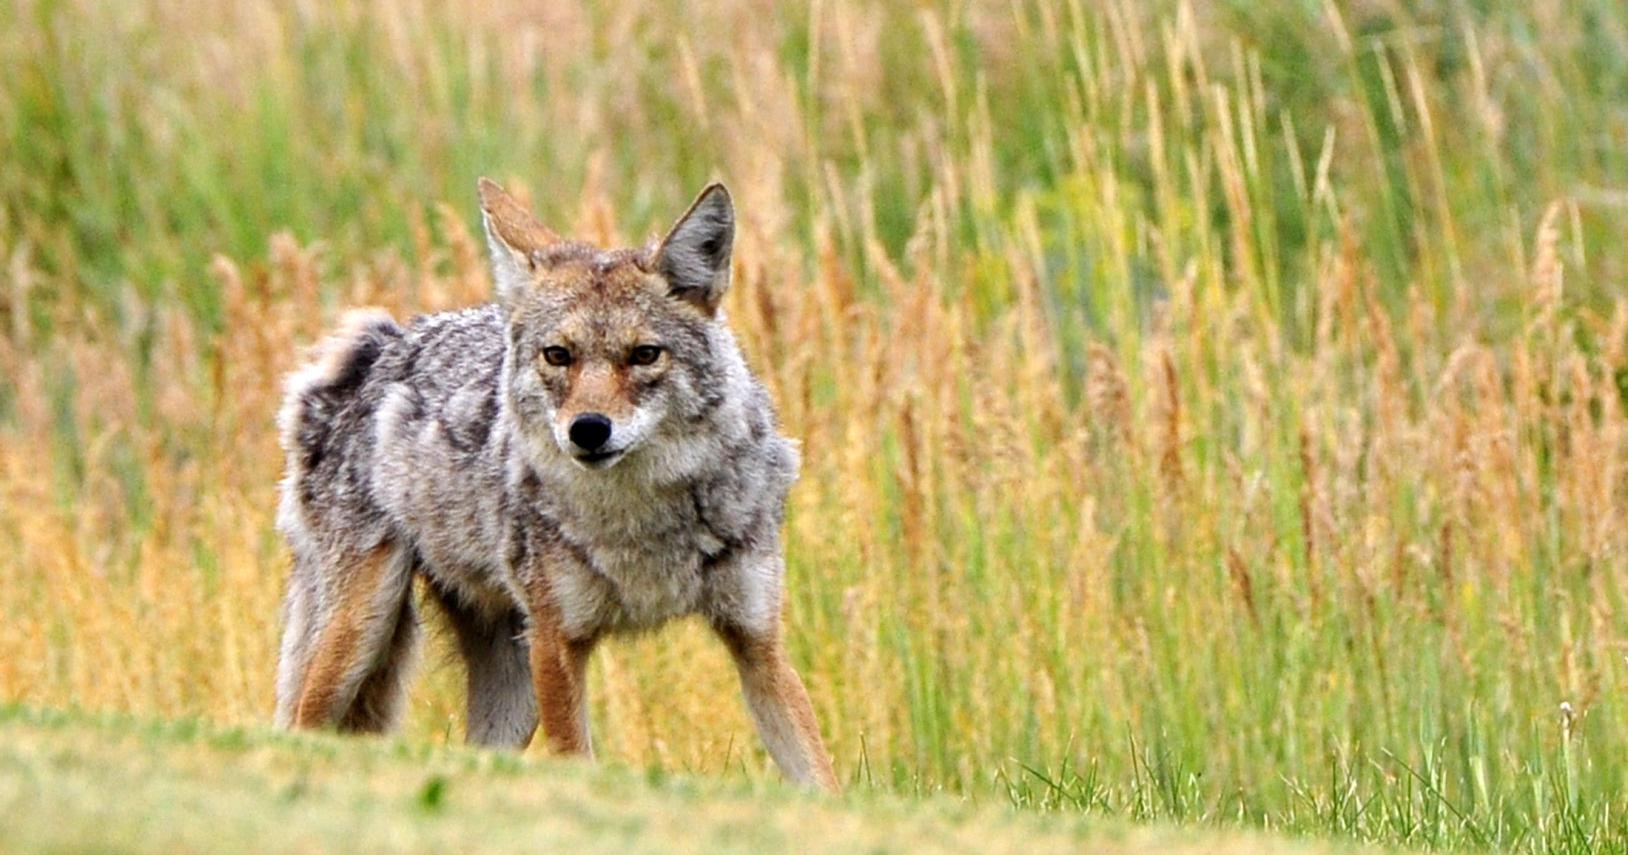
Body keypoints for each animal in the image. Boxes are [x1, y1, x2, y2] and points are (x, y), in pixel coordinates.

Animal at [272, 178, 838, 791]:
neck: (639, 523)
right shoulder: (558, 643)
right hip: (362, 633)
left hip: (510, 700)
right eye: (558, 356)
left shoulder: (759, 643)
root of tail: (375, 347)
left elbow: (818, 773)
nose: (588, 429)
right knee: (299, 723)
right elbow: (575, 758)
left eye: (644, 355)